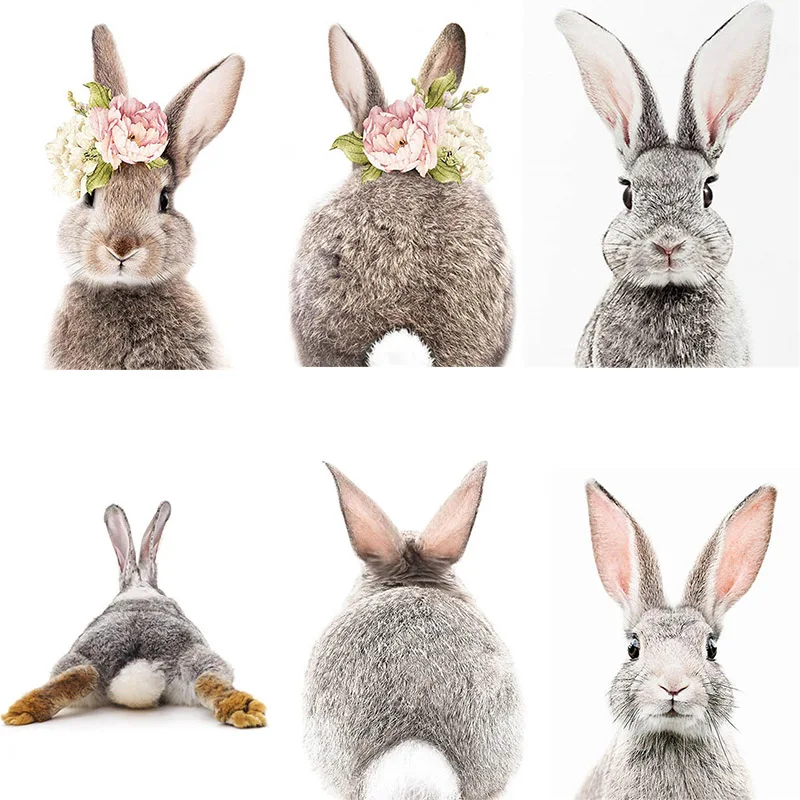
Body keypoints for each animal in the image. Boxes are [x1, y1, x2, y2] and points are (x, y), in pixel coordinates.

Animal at [2, 502, 266, 728]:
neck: (139, 589)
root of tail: (138, 665)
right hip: (198, 657)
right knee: (207, 680)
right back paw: (245, 710)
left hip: (79, 661)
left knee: (83, 674)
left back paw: (20, 713)